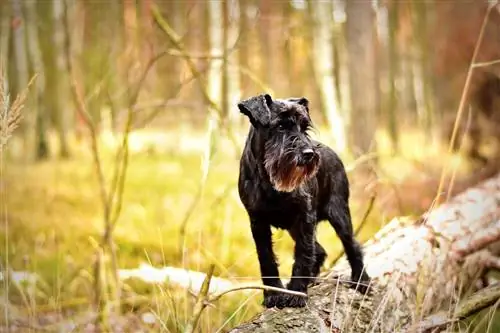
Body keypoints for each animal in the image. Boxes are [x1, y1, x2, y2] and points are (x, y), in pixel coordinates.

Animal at [236, 92, 370, 308]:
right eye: (280, 126)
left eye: (304, 126)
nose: (308, 154)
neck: (270, 181)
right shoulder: (258, 221)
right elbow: (266, 257)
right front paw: (274, 294)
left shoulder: (304, 217)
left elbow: (303, 253)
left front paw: (297, 293)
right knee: (320, 251)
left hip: (339, 214)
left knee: (352, 245)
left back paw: (361, 280)